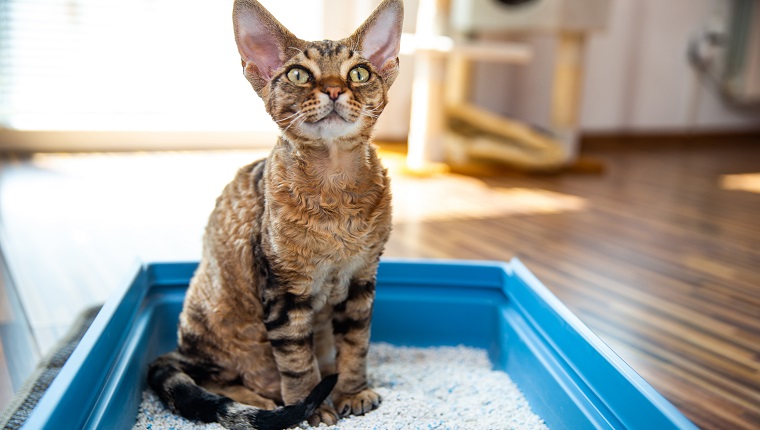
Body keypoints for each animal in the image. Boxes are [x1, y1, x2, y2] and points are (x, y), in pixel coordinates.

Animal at [145, 0, 400, 430]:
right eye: (299, 74)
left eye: (359, 73)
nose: (334, 89)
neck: (336, 194)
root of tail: (179, 349)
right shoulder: (283, 289)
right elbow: (296, 361)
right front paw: (312, 409)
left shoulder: (362, 279)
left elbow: (356, 344)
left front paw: (352, 391)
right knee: (214, 379)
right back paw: (261, 403)